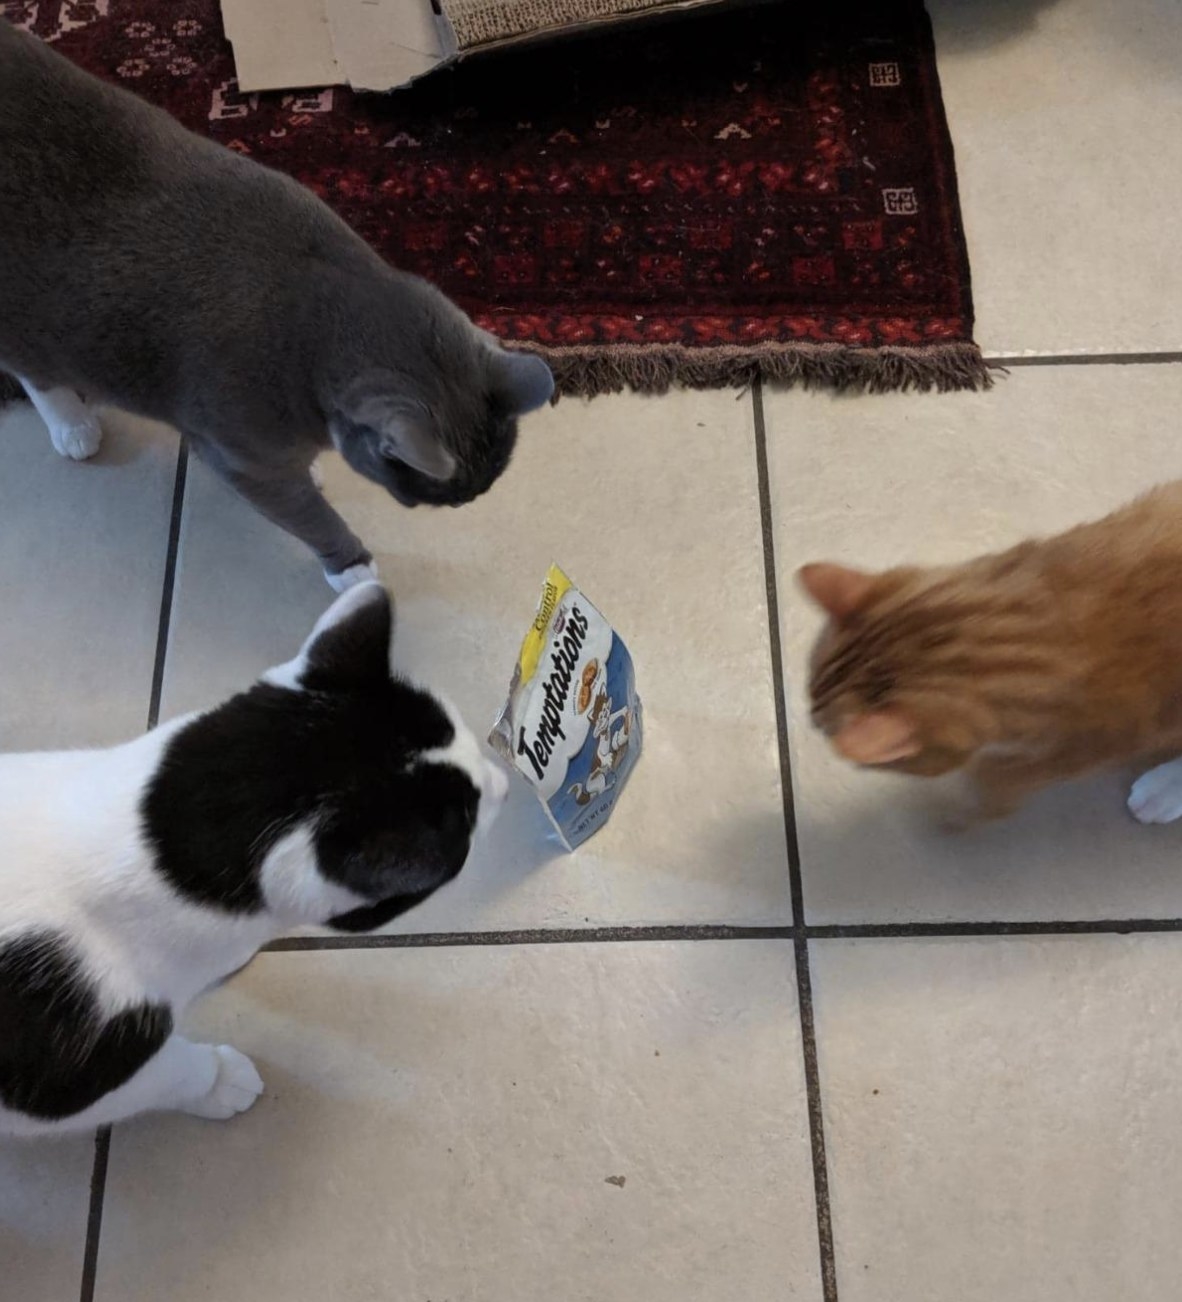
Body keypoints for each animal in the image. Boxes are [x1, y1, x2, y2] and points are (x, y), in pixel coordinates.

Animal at [0, 21, 554, 591]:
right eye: (433, 495)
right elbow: (309, 515)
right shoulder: (244, 460)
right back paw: (73, 425)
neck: (325, 304)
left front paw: (311, 467)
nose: (466, 501)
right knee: (35, 370)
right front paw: (353, 567)